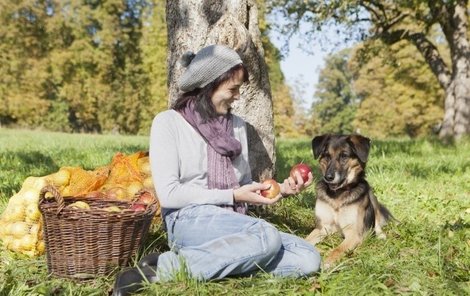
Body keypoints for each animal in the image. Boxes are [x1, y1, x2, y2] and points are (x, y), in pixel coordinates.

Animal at [304, 134, 392, 266]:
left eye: (344, 156)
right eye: (327, 156)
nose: (328, 177)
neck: (338, 194)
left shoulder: (353, 233)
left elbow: (338, 249)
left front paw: (327, 262)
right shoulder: (322, 228)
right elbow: (305, 240)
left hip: (371, 196)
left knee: (376, 220)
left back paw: (381, 235)